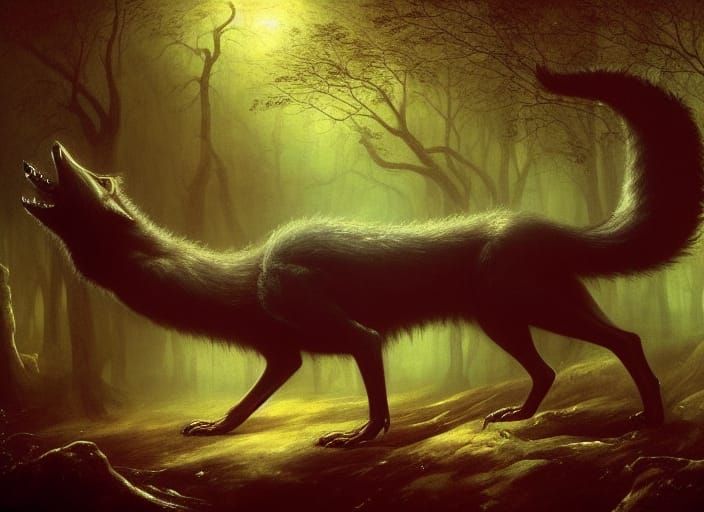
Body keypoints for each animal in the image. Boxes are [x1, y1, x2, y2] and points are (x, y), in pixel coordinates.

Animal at [21, 68, 703, 447]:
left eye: (96, 181)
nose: (53, 147)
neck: (240, 276)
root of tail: (551, 226)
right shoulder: (282, 352)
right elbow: (252, 396)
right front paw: (215, 427)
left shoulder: (321, 314)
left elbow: (370, 365)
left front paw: (357, 437)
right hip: (509, 314)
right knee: (549, 369)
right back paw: (521, 413)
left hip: (530, 303)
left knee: (624, 341)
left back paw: (650, 418)